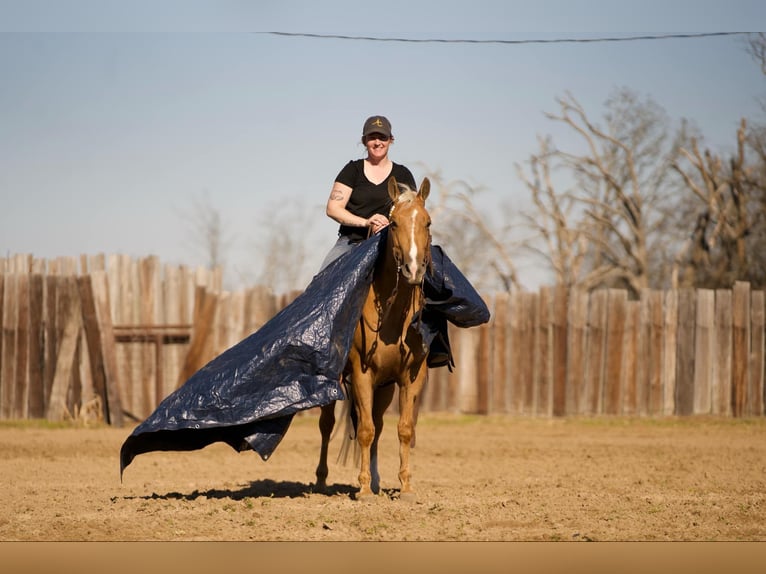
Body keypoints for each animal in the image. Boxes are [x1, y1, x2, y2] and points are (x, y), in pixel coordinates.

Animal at [314, 177, 432, 504]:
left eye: (428, 222)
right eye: (393, 223)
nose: (413, 269)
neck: (391, 318)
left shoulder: (411, 377)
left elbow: (403, 429)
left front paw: (405, 487)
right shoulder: (361, 373)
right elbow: (364, 430)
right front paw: (364, 489)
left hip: (385, 388)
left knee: (378, 425)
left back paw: (378, 481)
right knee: (327, 425)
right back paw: (321, 481)